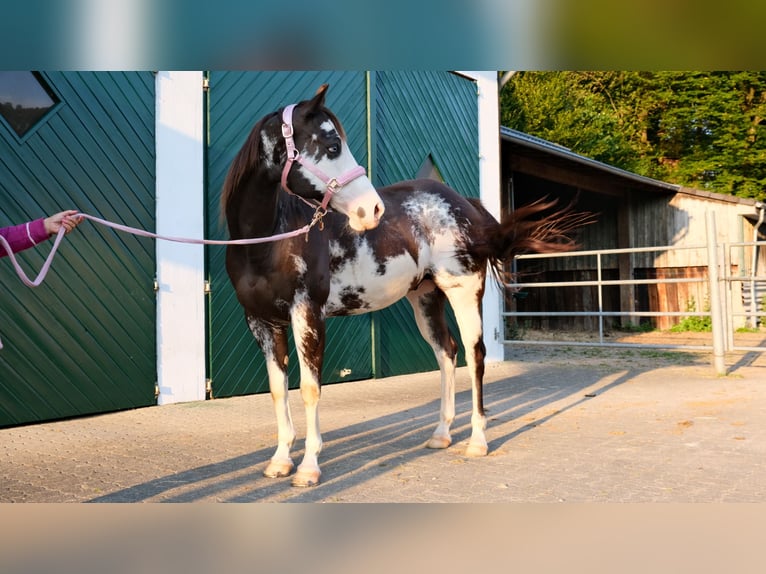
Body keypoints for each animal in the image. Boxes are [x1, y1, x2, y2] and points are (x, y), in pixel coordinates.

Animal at [220, 84, 584, 486]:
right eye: (332, 146)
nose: (373, 209)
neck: (269, 241)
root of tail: (464, 204)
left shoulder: (308, 315)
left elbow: (310, 389)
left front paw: (309, 467)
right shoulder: (262, 322)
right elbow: (277, 389)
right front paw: (280, 460)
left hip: (464, 293)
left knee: (474, 356)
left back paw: (476, 441)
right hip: (426, 298)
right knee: (446, 353)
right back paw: (441, 434)